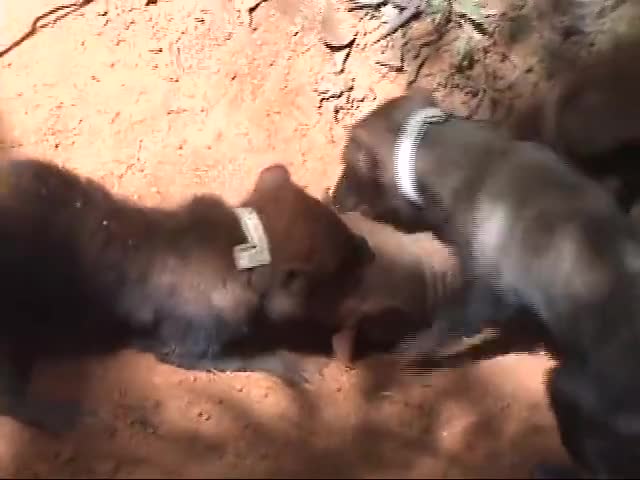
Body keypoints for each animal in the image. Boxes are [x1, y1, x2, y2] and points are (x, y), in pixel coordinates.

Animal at [0, 157, 372, 436]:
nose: (368, 247)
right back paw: (64, 416)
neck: (242, 248)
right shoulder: (187, 342)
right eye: (339, 268)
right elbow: (247, 354)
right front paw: (298, 363)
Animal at [330, 88, 640, 478]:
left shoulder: (488, 287)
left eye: (348, 164)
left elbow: (448, 324)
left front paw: (408, 350)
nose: (330, 197)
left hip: (571, 390)